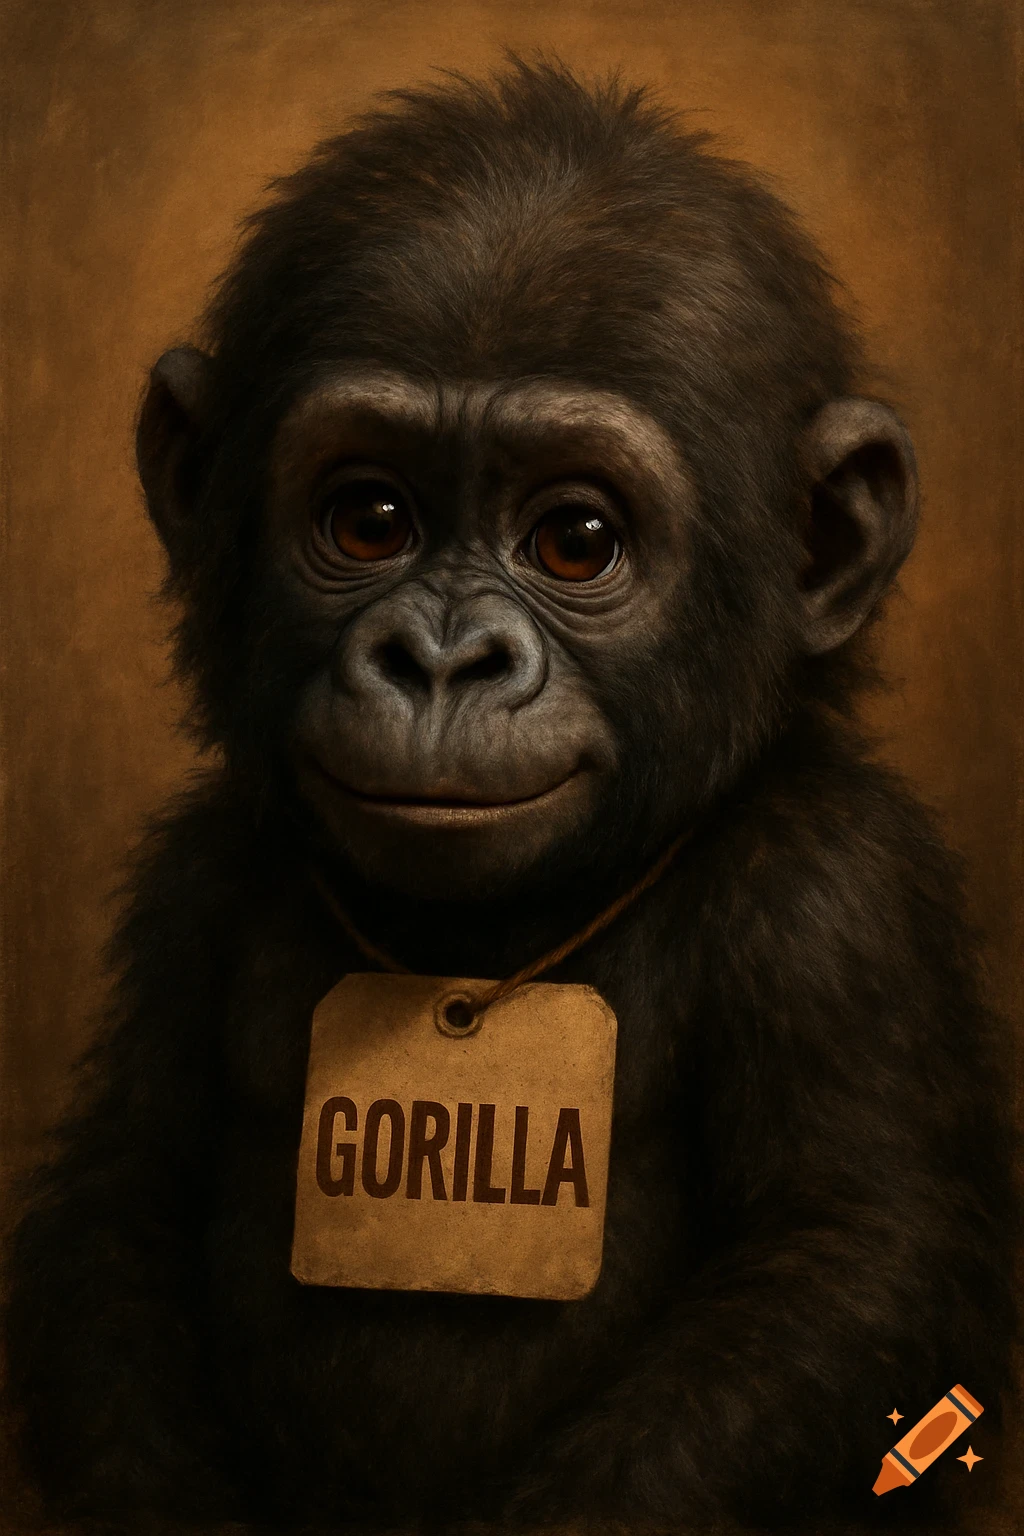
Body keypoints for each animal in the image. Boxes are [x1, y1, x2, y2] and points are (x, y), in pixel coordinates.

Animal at [3, 58, 1015, 1532]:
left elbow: (848, 1263)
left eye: (576, 540)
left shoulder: (838, 903)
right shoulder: (191, 885)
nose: (441, 658)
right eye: (369, 519)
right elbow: (123, 1201)